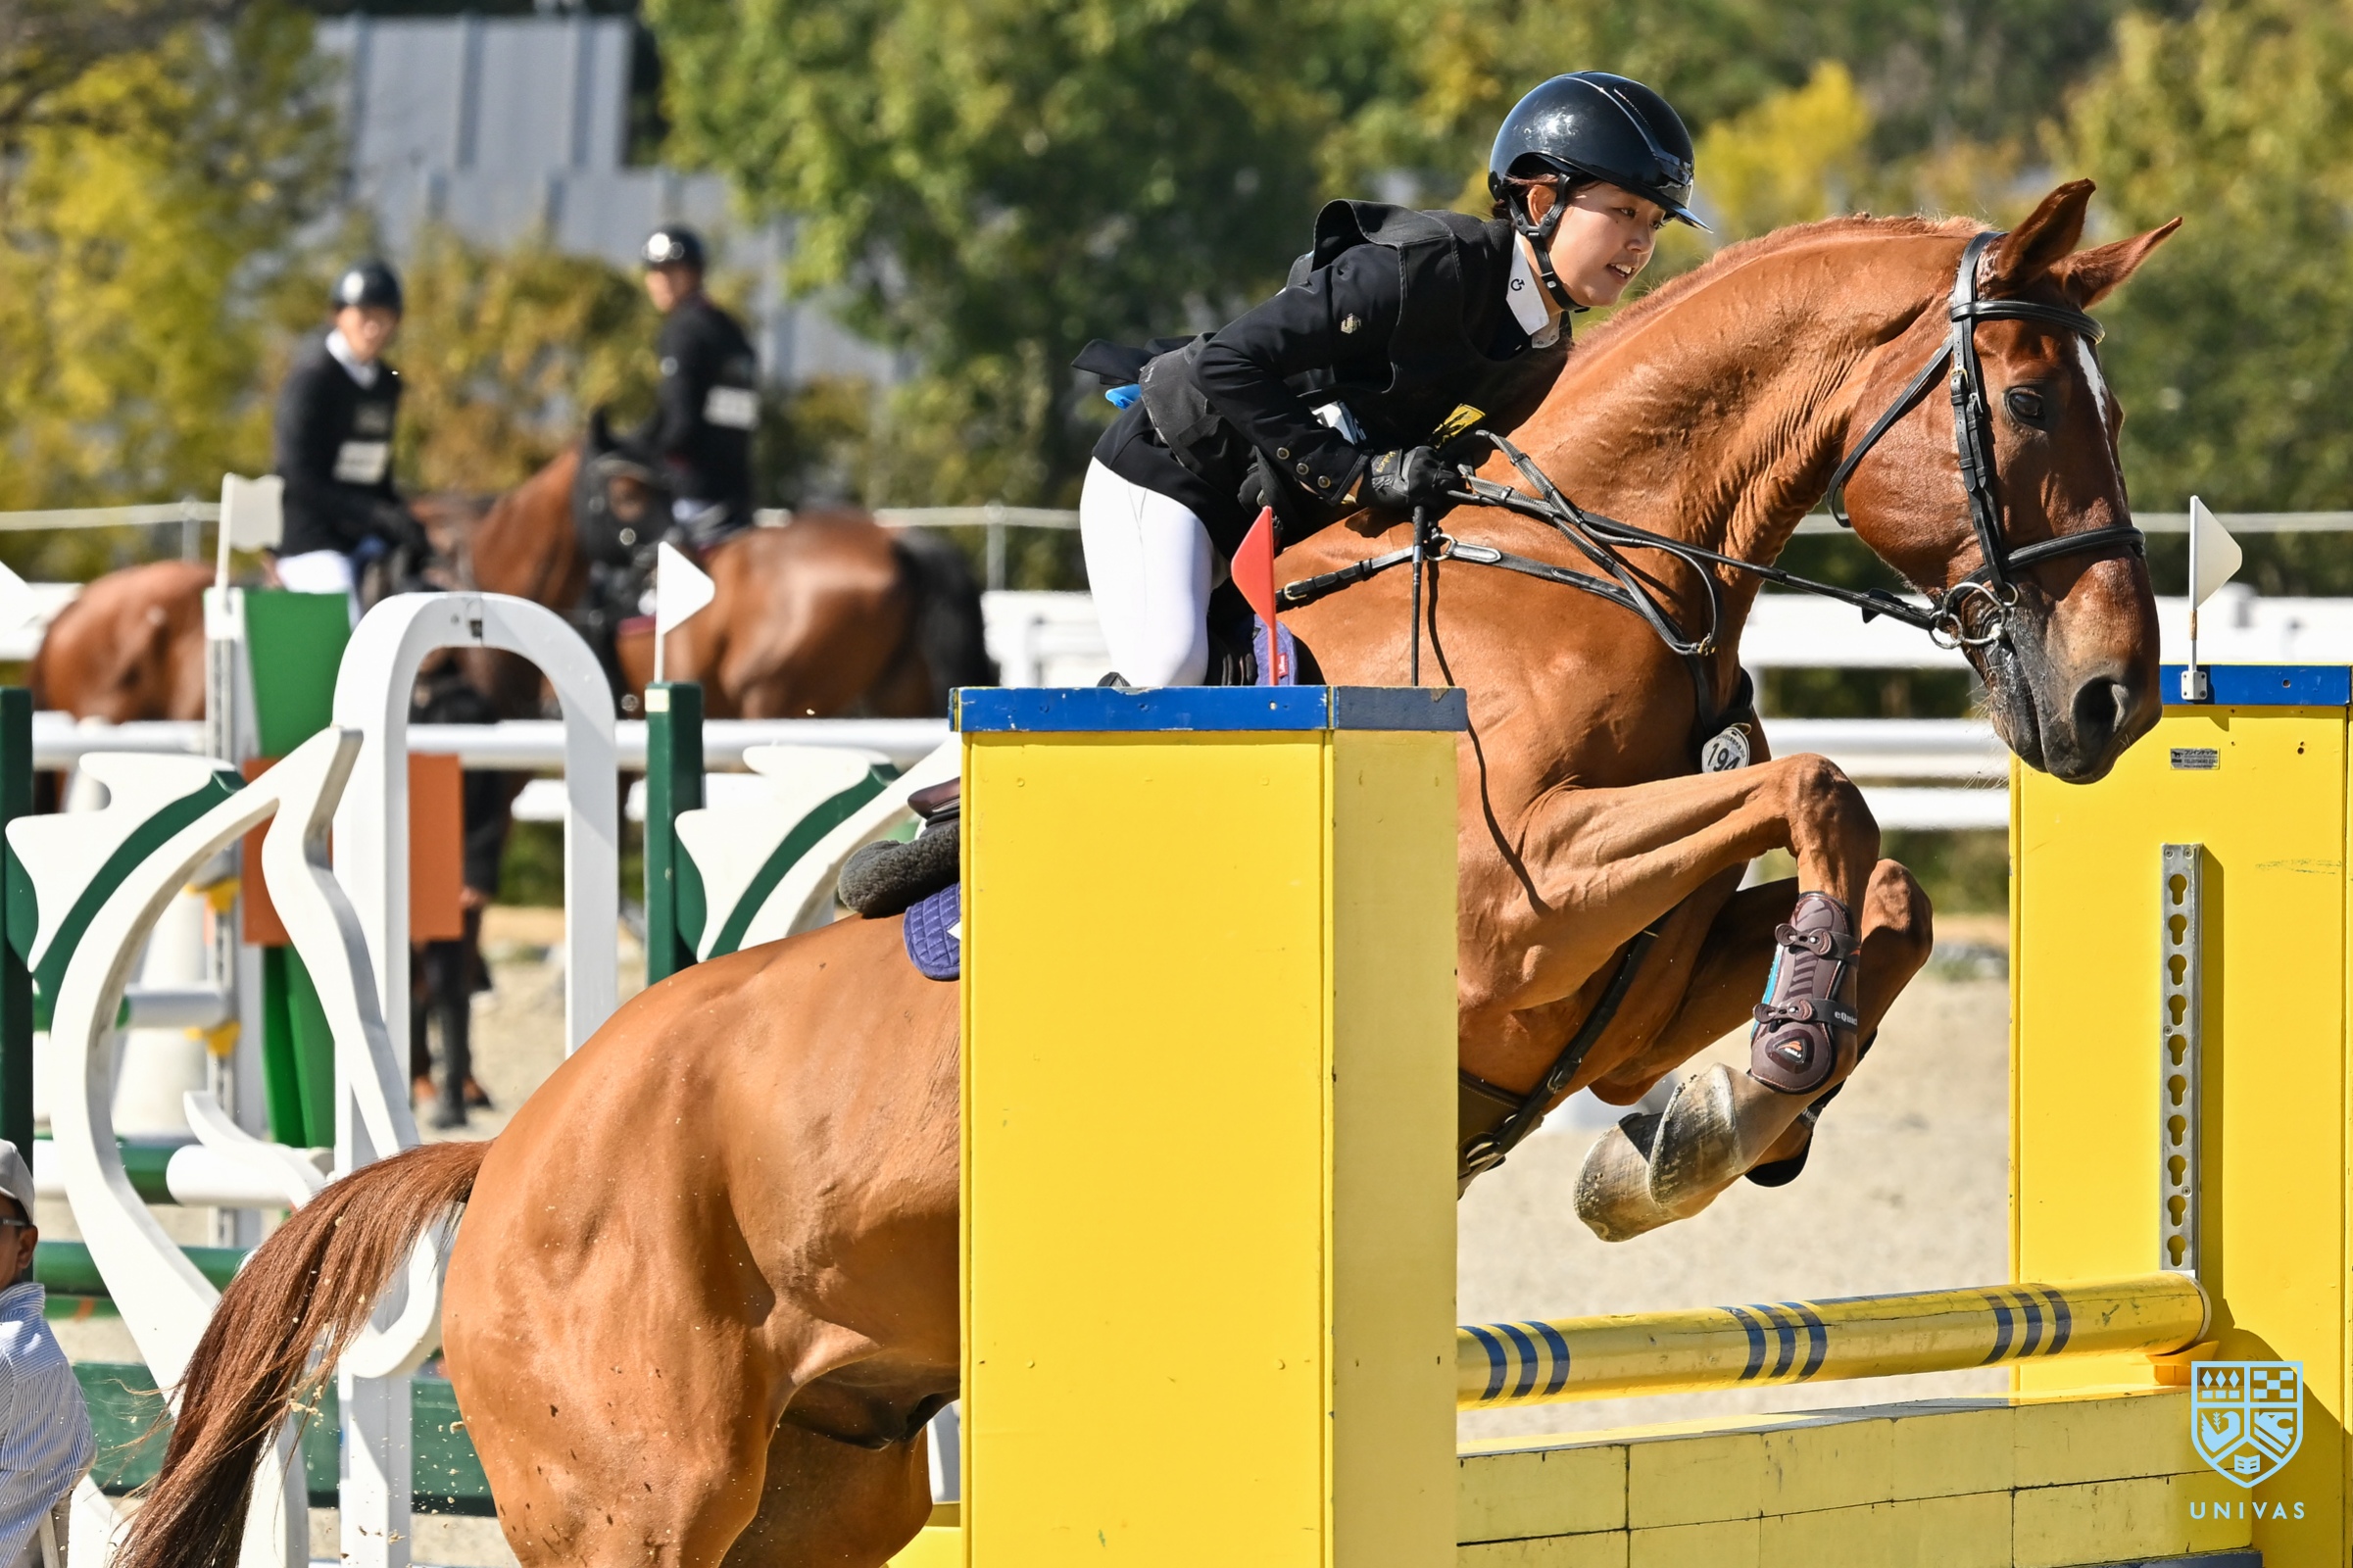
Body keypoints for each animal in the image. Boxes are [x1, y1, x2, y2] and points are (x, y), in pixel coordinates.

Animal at [116, 183, 2175, 1568]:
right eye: (2030, 407)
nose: (2108, 702)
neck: (1573, 579)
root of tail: (503, 1160)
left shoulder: (1598, 987)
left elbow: (1865, 883)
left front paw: (1696, 1128)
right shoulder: (1519, 912)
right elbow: (1824, 795)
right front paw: (1753, 1086)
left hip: (826, 1481)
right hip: (639, 1502)